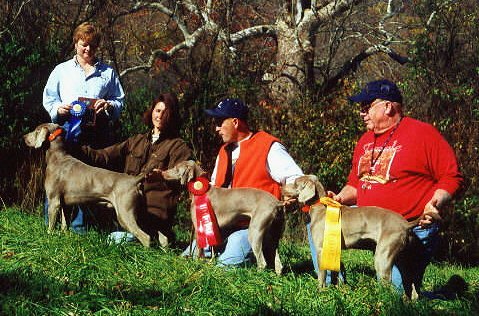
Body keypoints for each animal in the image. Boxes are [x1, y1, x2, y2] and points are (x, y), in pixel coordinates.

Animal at [284, 175, 438, 296]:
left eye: (296, 183)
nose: (283, 187)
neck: (323, 207)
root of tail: (406, 223)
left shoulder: (321, 250)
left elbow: (322, 275)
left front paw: (320, 293)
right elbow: (335, 274)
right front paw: (335, 291)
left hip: (382, 257)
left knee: (389, 287)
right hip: (403, 259)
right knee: (412, 287)